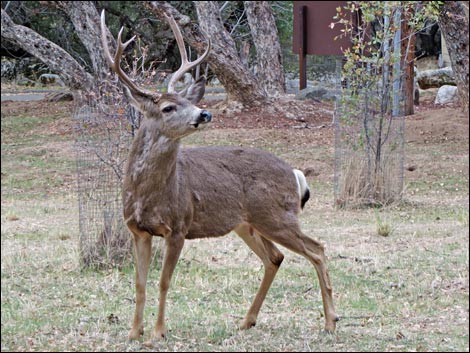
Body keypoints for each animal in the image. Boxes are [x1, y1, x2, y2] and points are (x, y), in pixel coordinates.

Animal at [100, 10, 338, 340]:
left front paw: (159, 332)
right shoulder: (138, 230)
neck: (147, 194)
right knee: (275, 257)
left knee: (317, 249)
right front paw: (135, 332)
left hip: (276, 215)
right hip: (247, 223)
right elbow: (139, 283)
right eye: (168, 107)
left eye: (190, 102)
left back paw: (330, 321)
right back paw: (247, 320)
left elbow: (163, 282)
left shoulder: (179, 226)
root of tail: (295, 173)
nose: (204, 113)